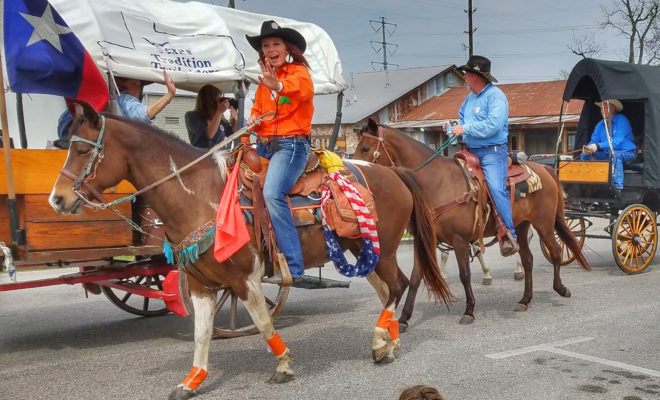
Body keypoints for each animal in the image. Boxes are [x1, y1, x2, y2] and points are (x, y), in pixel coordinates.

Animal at [47, 104, 454, 398]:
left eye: (81, 148)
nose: (57, 199)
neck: (203, 196)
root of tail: (394, 173)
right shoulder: (201, 285)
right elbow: (202, 333)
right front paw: (191, 382)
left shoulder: (245, 280)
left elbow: (262, 322)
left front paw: (283, 366)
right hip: (361, 250)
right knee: (388, 291)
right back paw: (389, 343)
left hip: (383, 250)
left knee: (398, 286)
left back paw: (379, 342)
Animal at [354, 120, 592, 326]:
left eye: (365, 148)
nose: (354, 174)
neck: (437, 182)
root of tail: (546, 170)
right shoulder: (425, 240)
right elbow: (415, 277)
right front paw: (404, 318)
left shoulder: (459, 240)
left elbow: (464, 275)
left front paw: (469, 310)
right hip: (521, 227)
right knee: (528, 260)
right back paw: (525, 300)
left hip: (544, 223)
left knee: (555, 251)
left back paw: (560, 288)